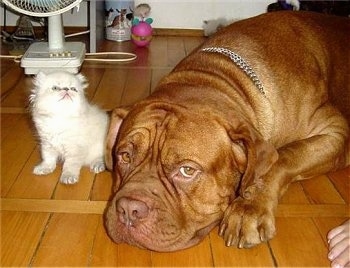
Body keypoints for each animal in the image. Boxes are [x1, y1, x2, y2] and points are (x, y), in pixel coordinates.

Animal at [104, 11, 350, 252]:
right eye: (125, 156)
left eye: (187, 171)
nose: (129, 209)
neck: (215, 76)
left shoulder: (337, 132)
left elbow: (284, 157)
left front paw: (248, 207)